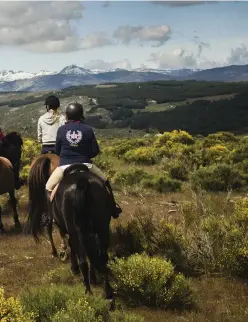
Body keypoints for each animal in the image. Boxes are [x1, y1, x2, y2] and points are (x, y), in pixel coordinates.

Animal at [26, 156, 113, 300]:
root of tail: (82, 184)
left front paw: (72, 265)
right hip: (101, 227)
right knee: (102, 257)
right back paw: (107, 292)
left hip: (75, 229)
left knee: (83, 258)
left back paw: (88, 290)